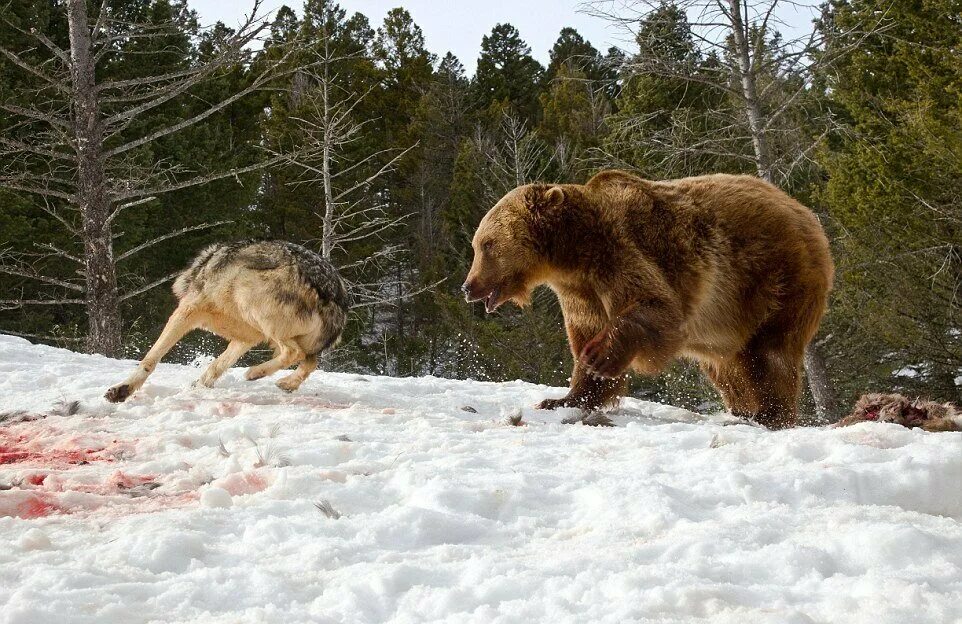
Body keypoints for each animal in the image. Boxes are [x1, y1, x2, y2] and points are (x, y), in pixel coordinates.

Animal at [462, 171, 828, 428]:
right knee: (728, 365)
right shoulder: (581, 293)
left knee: (771, 351)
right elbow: (585, 337)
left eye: (487, 244)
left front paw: (600, 356)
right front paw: (563, 398)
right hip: (731, 317)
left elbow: (655, 307)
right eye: (478, 244)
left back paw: (770, 414)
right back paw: (743, 410)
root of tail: (806, 213)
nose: (468, 286)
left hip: (772, 279)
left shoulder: (619, 252)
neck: (573, 253)